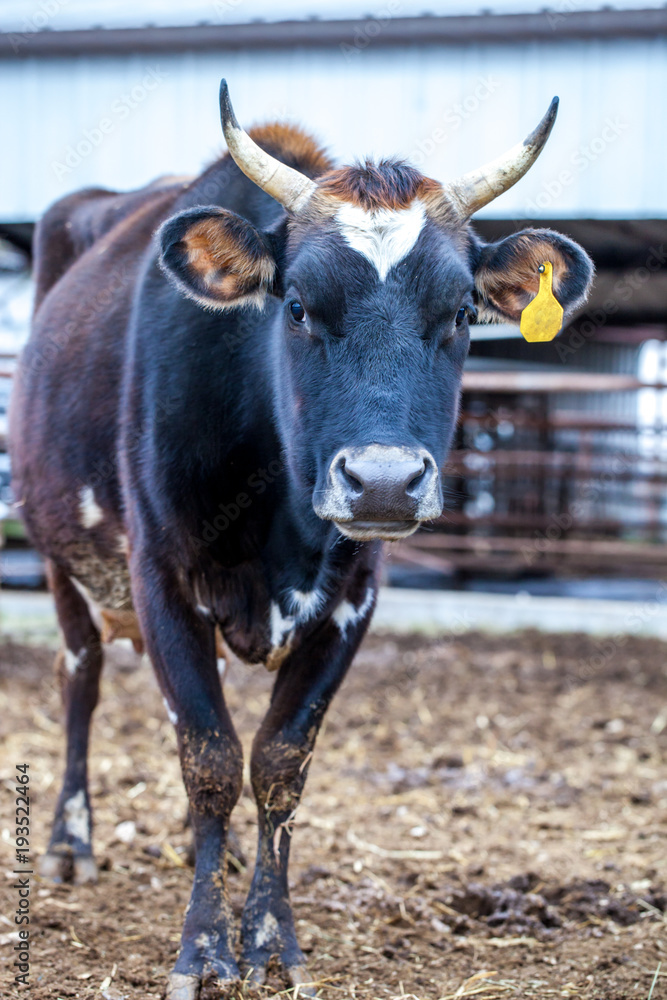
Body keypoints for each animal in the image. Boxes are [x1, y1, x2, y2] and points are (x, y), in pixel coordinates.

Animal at [9, 82, 596, 996]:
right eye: (295, 307)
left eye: (463, 311)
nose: (384, 480)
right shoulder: (159, 577)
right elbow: (211, 755)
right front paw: (204, 949)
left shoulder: (353, 598)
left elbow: (278, 764)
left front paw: (268, 937)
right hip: (60, 558)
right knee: (81, 677)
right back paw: (71, 841)